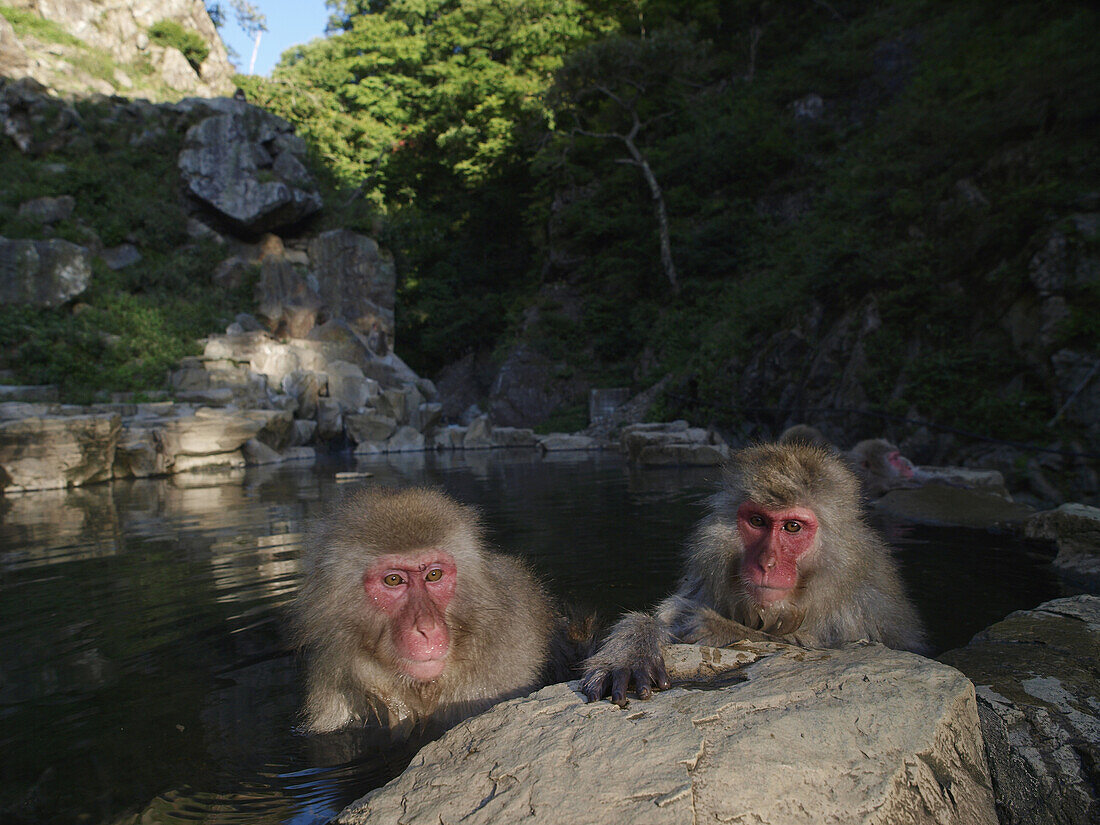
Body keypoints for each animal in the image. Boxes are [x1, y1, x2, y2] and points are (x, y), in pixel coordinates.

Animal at [585, 442, 928, 708]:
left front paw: (715, 626)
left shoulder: (866, 610)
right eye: (757, 521)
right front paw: (632, 644)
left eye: (792, 527)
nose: (766, 563)